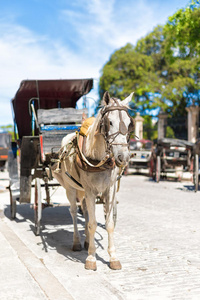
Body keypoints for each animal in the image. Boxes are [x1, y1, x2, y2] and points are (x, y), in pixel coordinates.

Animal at [52, 90, 135, 270]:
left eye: (129, 123)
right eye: (109, 122)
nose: (123, 157)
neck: (98, 159)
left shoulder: (109, 190)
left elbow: (108, 224)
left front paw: (113, 257)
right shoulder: (90, 190)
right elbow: (93, 224)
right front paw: (91, 258)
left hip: (82, 190)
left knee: (85, 211)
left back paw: (86, 241)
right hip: (71, 188)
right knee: (74, 212)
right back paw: (77, 241)